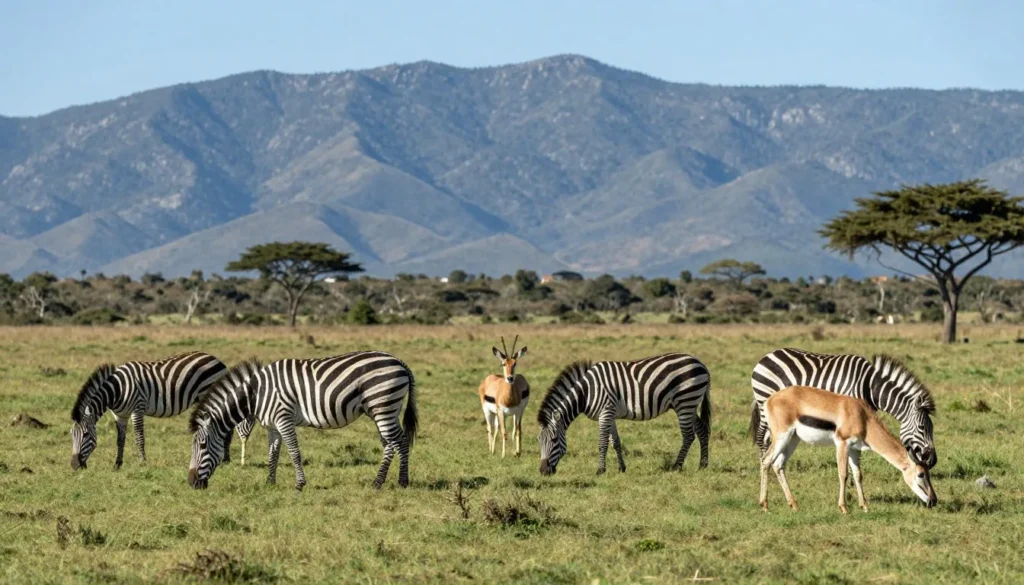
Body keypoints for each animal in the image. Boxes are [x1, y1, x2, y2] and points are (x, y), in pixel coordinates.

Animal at [70, 351, 238, 470]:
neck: (117, 390)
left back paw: (226, 460)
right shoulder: (120, 415)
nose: (74, 465)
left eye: (86, 434)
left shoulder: (137, 409)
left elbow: (139, 437)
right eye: (71, 435)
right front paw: (117, 464)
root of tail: (217, 359)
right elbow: (120, 440)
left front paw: (143, 462)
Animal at [188, 351, 418, 491]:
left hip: (384, 406)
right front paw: (269, 482)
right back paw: (379, 482)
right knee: (389, 444)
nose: (190, 483)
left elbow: (294, 453)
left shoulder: (283, 418)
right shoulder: (272, 426)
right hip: (385, 410)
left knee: (400, 441)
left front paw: (299, 484)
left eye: (203, 445)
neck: (256, 394)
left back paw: (401, 482)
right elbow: (273, 454)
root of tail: (399, 361)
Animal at [536, 353, 711, 476]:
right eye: (538, 441)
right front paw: (621, 468)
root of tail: (700, 363)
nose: (543, 471)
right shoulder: (609, 414)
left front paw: (600, 470)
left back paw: (676, 466)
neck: (586, 393)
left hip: (685, 401)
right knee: (702, 430)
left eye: (554, 440)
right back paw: (703, 465)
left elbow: (602, 443)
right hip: (688, 404)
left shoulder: (605, 412)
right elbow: (616, 442)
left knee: (688, 435)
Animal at [750, 348, 937, 469]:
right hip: (764, 399)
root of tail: (767, 356)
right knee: (761, 437)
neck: (870, 386)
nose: (933, 461)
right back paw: (763, 465)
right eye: (922, 427)